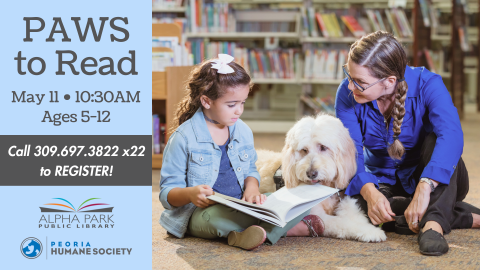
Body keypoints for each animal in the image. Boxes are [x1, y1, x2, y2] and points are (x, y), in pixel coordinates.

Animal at [255, 114, 386, 243]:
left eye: (323, 147)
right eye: (304, 150)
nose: (311, 173)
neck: (325, 185)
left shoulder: (345, 199)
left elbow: (355, 215)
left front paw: (368, 227)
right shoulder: (319, 215)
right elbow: (342, 222)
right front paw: (371, 232)